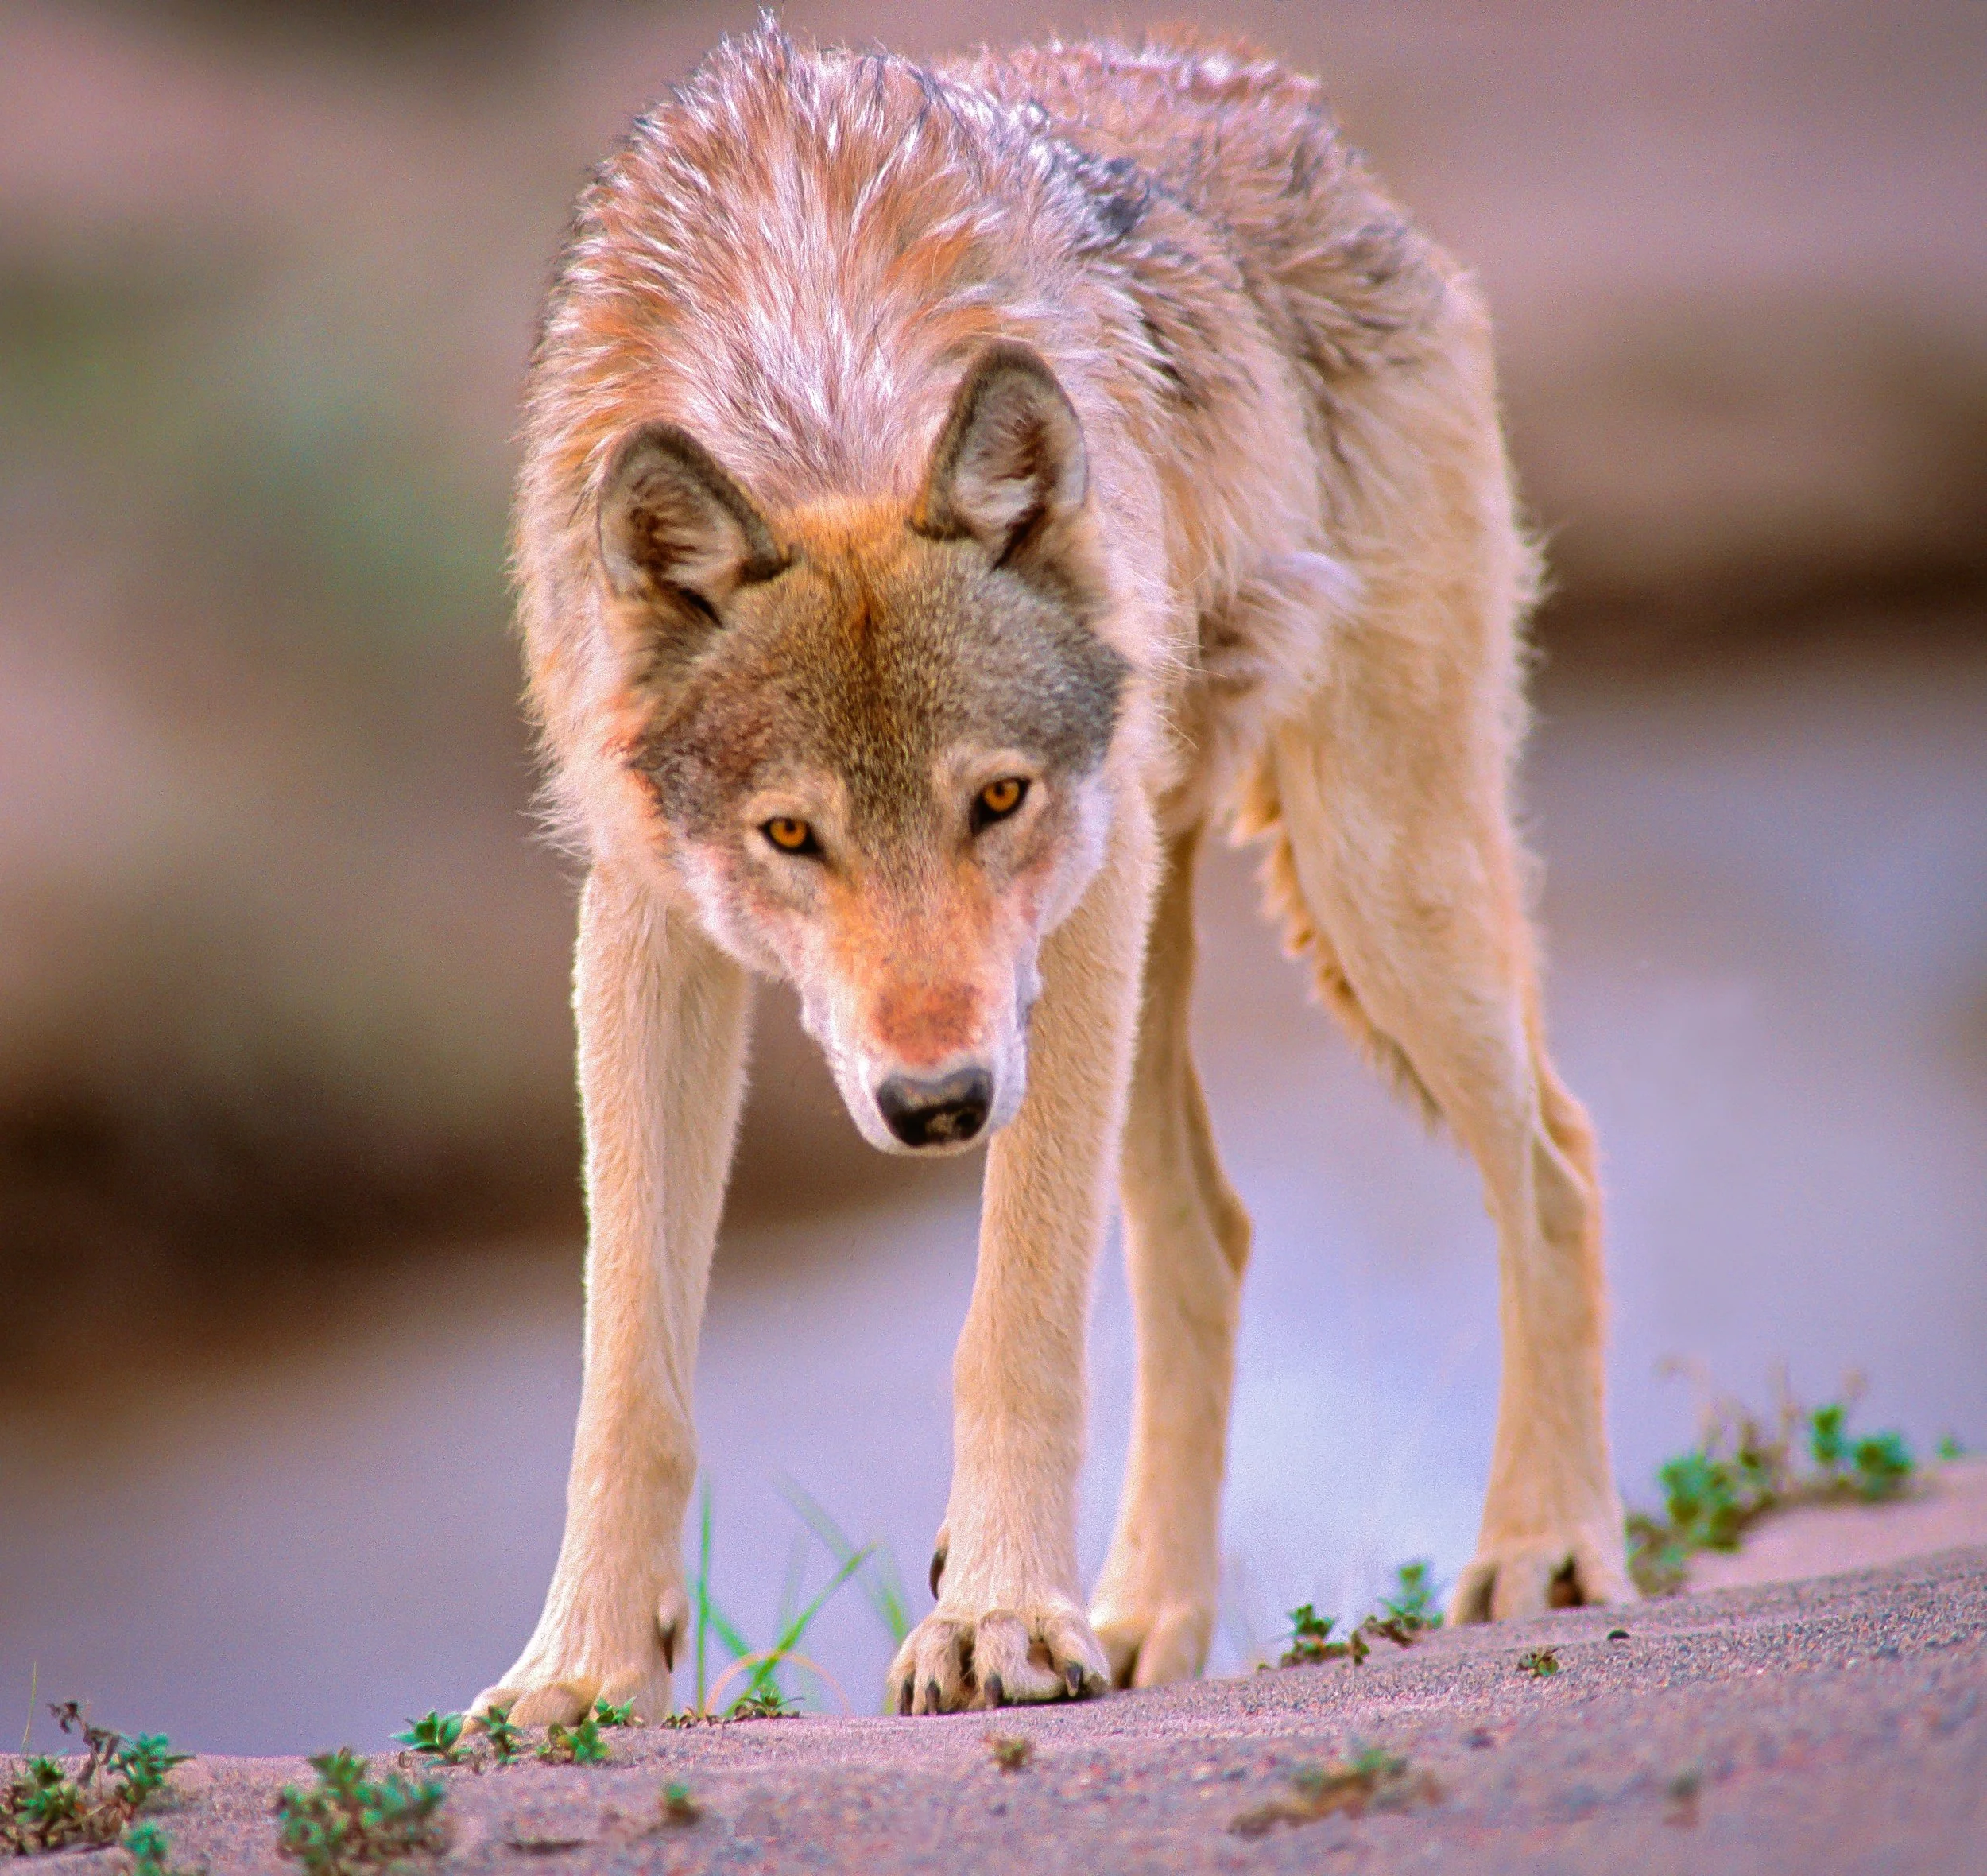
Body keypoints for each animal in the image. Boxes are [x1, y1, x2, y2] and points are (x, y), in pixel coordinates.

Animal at [478, 21, 1630, 1721]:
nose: (936, 1106)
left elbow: (1014, 1322)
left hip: (1356, 888)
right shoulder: (642, 923)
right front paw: (579, 1674)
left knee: (1555, 1159)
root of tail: (1306, 123)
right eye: (790, 836)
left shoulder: (1069, 912)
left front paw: (1000, 1621)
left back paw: (1544, 1545)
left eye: (998, 798)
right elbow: (627, 1369)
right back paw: (1151, 1616)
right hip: (1151, 948)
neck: (817, 356)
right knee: (1207, 1236)